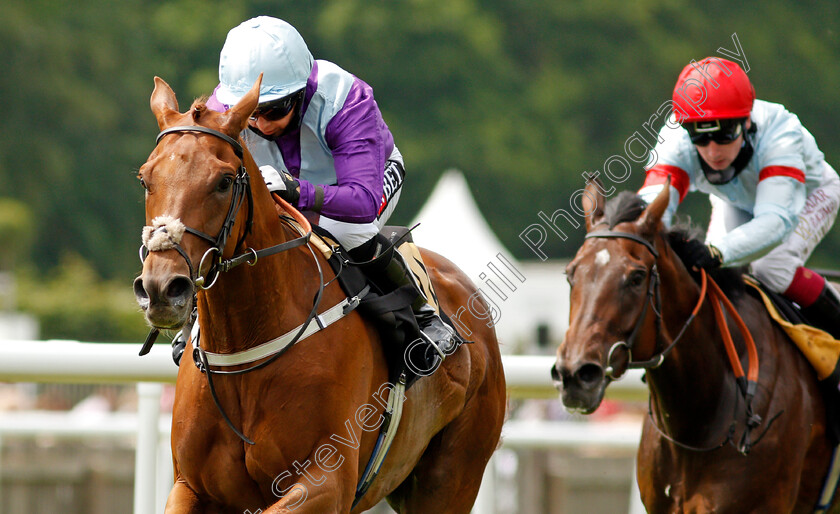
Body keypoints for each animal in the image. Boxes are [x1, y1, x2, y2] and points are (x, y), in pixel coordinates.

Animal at [131, 76, 506, 512]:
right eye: (145, 179)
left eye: (223, 182)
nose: (161, 288)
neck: (245, 350)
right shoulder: (190, 486)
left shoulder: (326, 482)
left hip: (452, 477)